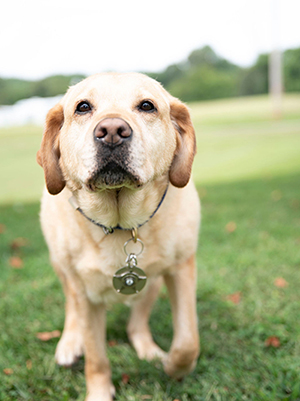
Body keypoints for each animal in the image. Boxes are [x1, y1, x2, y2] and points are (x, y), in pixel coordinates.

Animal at [37, 72, 199, 400]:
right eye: (83, 107)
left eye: (147, 106)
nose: (112, 131)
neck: (122, 223)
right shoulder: (85, 294)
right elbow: (96, 357)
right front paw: (98, 391)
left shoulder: (182, 268)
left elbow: (188, 341)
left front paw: (174, 367)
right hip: (62, 267)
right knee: (71, 305)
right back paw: (69, 342)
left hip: (152, 281)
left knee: (137, 322)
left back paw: (149, 350)